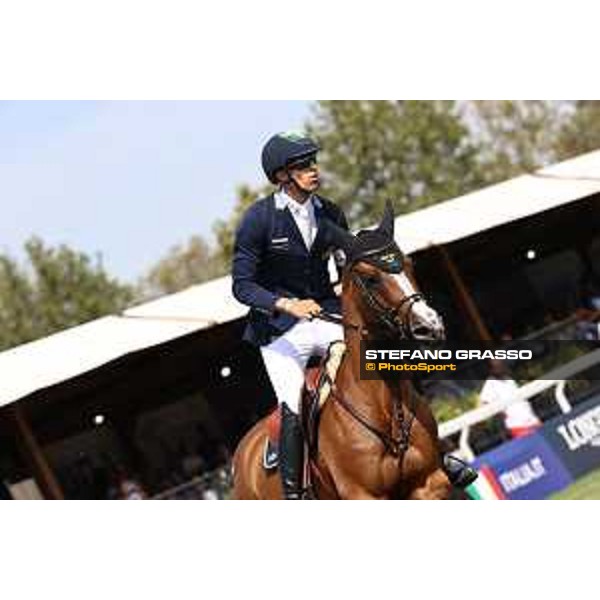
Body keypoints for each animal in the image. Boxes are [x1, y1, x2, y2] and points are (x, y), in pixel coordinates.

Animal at [232, 204, 452, 500]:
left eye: (409, 265)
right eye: (371, 278)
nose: (430, 327)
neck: (382, 403)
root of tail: (241, 455)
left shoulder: (429, 482)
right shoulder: (362, 495)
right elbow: (243, 282)